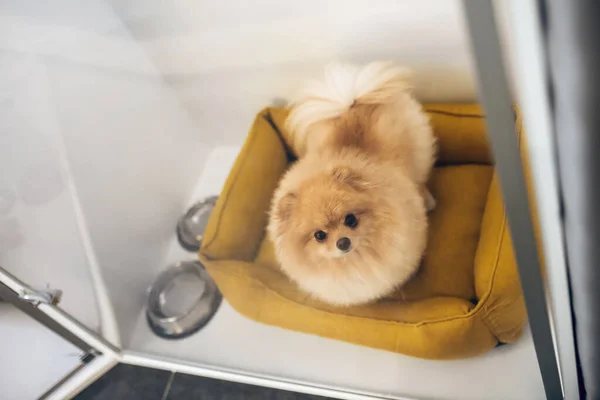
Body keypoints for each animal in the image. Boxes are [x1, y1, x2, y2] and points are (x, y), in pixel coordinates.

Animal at [268, 61, 436, 306]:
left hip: (420, 153)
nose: (343, 242)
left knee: (422, 178)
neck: (355, 260)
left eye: (351, 219)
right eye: (319, 235)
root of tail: (352, 101)